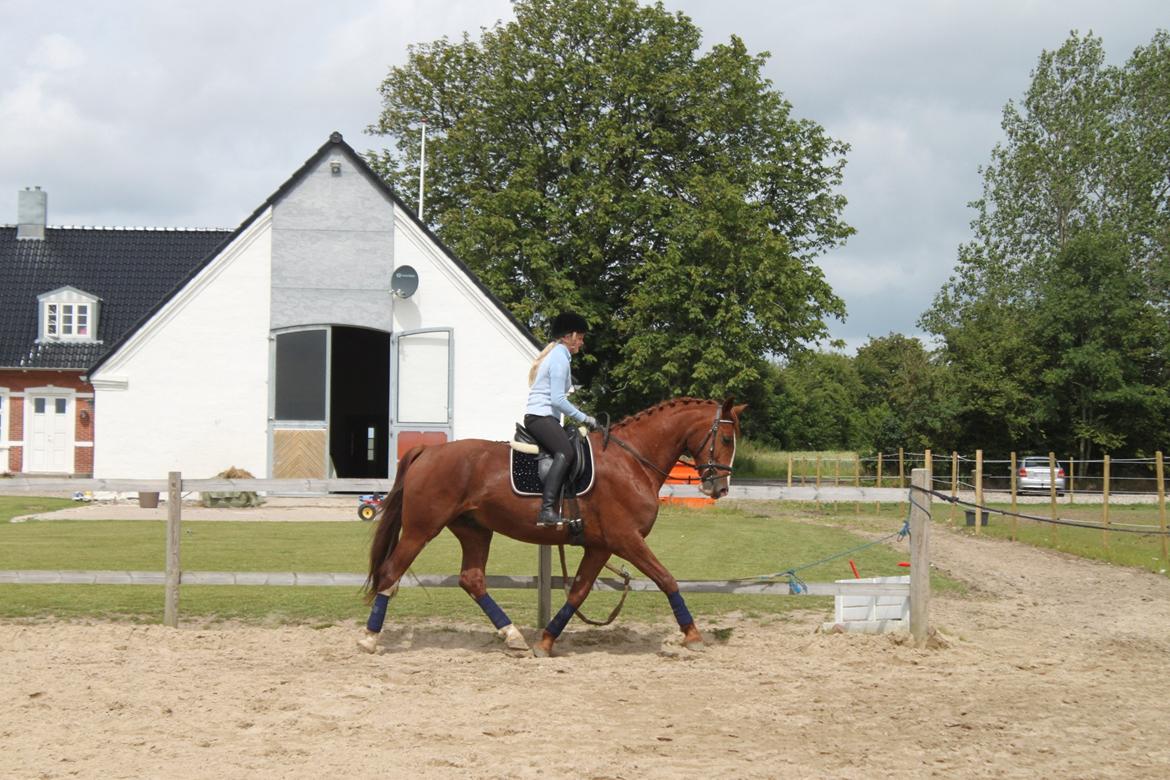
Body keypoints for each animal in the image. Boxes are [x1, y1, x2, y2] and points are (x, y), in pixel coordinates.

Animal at [355, 397, 744, 659]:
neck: (632, 460)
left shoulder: (601, 547)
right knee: (391, 572)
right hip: (421, 530)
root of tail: (428, 451)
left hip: (474, 530)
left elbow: (578, 593)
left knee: (472, 580)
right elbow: (667, 579)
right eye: (726, 440)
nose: (719, 489)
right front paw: (692, 635)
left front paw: (546, 641)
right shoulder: (626, 540)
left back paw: (513, 637)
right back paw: (370, 638)